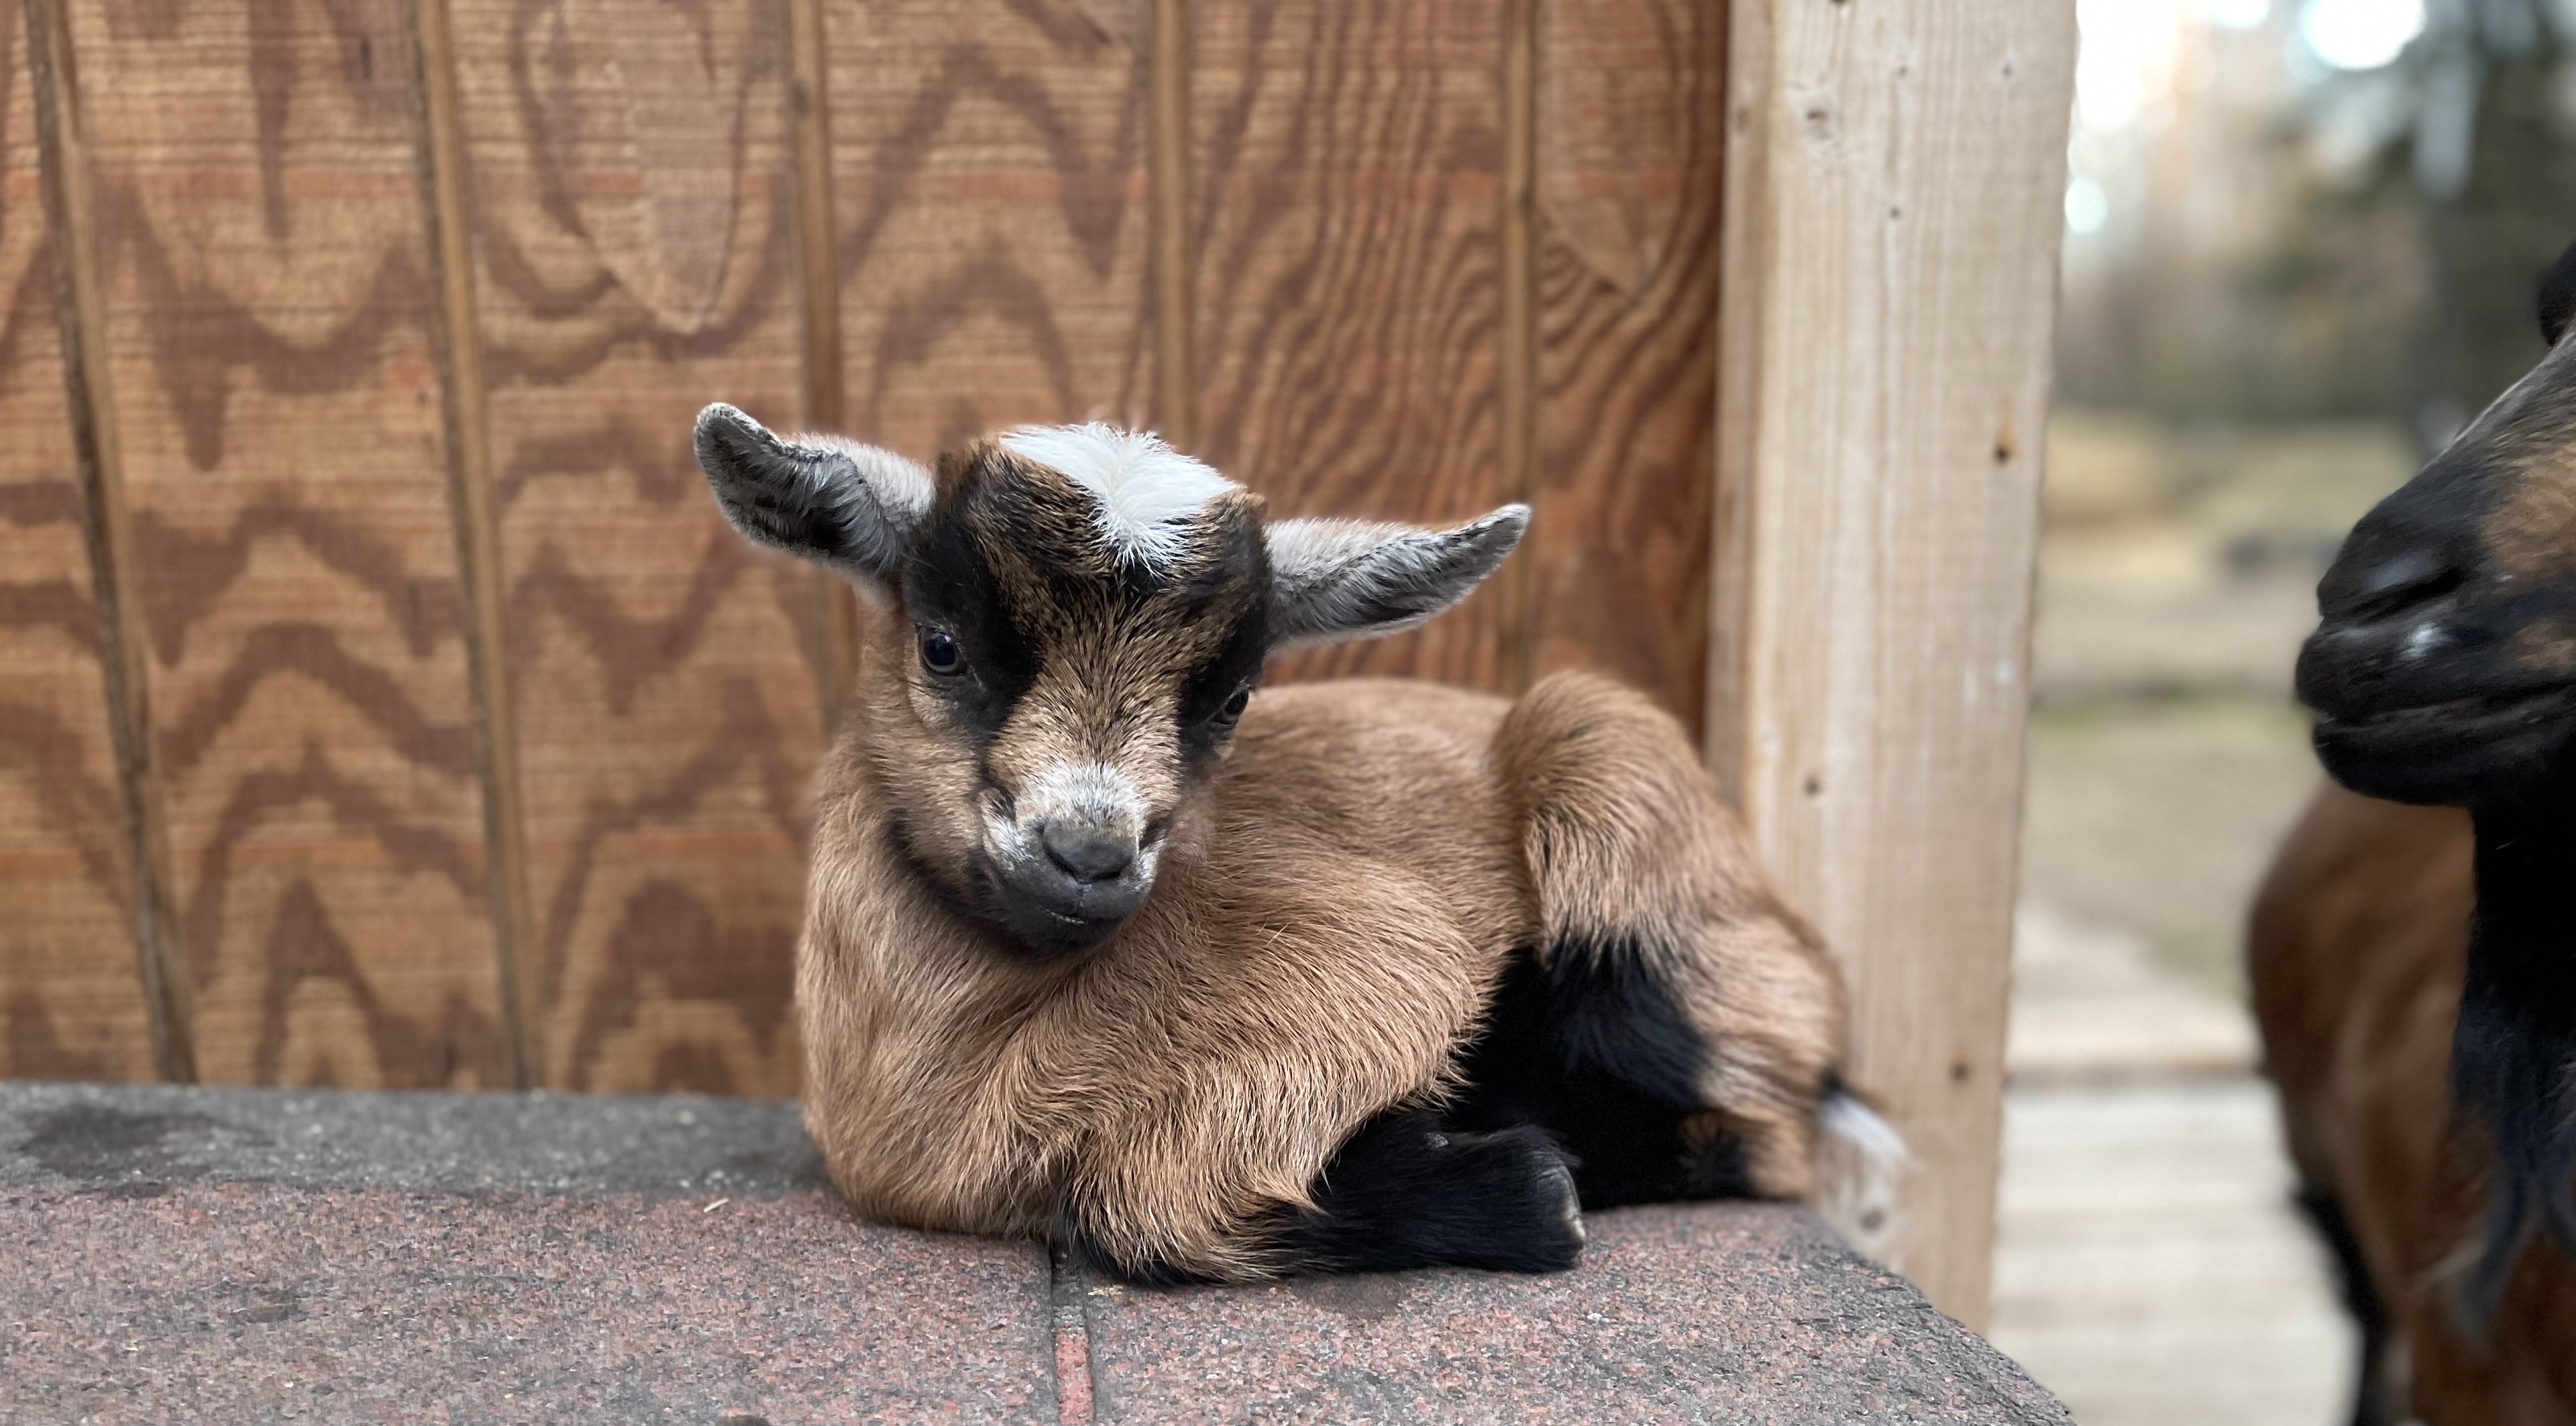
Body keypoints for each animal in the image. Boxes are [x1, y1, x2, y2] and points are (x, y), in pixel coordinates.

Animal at [693, 406, 1876, 1283]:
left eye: (1231, 700)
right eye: (942, 647)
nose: (1089, 854)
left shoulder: (1358, 965)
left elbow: (1142, 1208)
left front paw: (1523, 1179)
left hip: (1613, 790)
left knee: (1755, 1120)